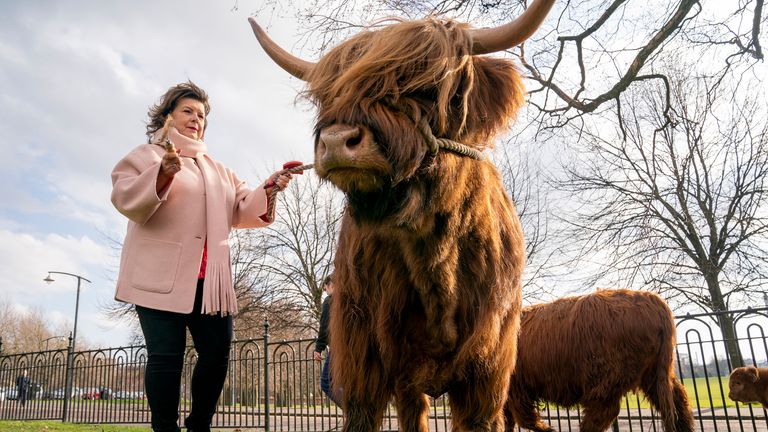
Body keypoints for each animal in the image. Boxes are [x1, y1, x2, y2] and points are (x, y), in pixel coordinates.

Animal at [249, 1, 556, 430]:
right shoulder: (362, 358)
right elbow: (363, 415)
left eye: (428, 86)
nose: (336, 141)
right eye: (330, 95)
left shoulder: (488, 372)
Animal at [508, 288, 692, 432]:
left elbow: (523, 417)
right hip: (653, 373)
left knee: (599, 414)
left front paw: (547, 428)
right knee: (679, 402)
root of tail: (654, 301)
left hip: (606, 378)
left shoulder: (516, 387)